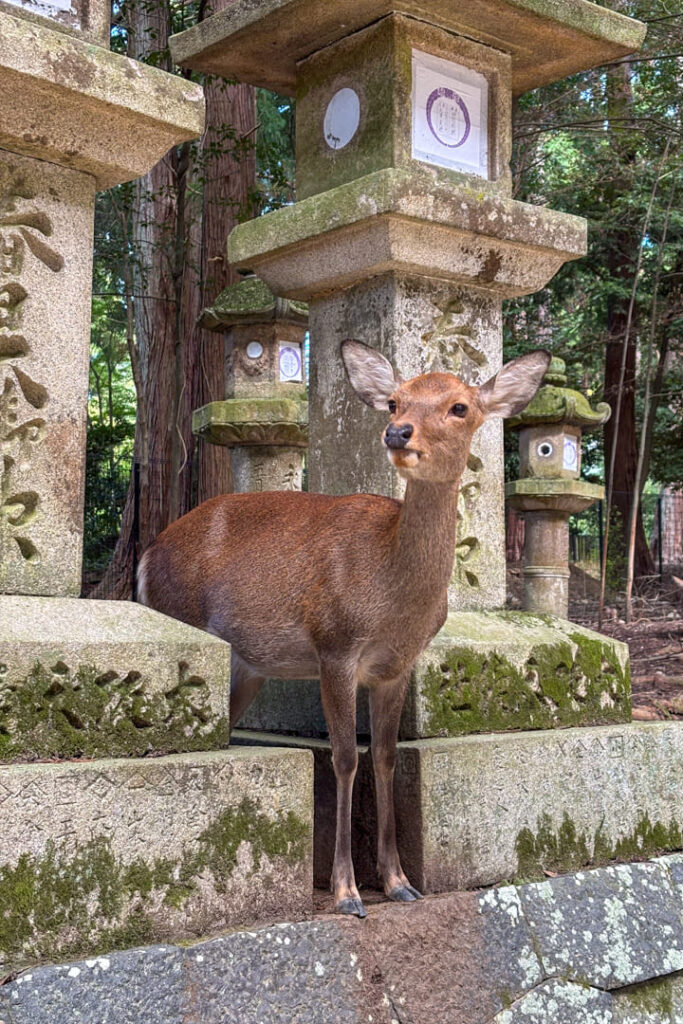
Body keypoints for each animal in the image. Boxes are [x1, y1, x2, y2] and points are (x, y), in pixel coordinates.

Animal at [139, 339, 548, 917]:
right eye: (395, 401)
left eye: (460, 406)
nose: (397, 433)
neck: (394, 602)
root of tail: (146, 556)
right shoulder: (334, 645)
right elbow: (345, 759)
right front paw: (346, 891)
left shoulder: (396, 666)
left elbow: (385, 759)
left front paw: (399, 881)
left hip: (247, 667)